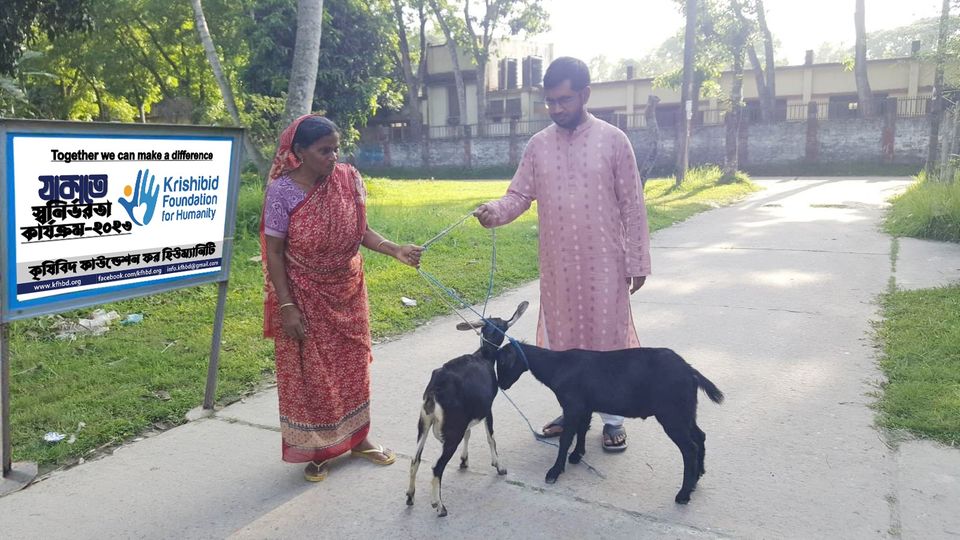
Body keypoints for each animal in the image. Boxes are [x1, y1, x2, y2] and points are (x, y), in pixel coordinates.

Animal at [404, 302, 528, 516]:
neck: (484, 355)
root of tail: (435, 390)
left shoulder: (469, 414)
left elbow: (469, 434)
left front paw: (463, 461)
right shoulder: (487, 408)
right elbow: (491, 437)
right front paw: (499, 467)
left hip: (424, 422)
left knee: (415, 459)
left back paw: (410, 497)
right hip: (452, 431)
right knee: (437, 467)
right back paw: (440, 506)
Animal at [498, 344, 724, 504]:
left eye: (501, 364)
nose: (501, 385)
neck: (558, 366)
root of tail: (690, 371)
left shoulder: (572, 406)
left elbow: (566, 439)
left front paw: (554, 471)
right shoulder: (586, 406)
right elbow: (582, 430)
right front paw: (577, 455)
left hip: (672, 415)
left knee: (689, 448)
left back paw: (684, 494)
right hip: (685, 411)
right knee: (700, 437)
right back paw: (697, 477)